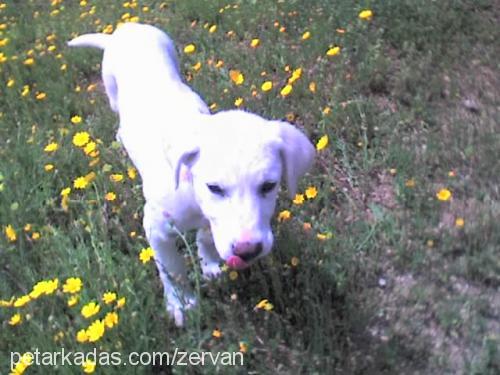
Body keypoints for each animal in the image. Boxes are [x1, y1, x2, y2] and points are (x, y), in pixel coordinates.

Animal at [68, 22, 314, 326]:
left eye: (269, 185)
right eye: (214, 187)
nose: (248, 251)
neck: (193, 196)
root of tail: (128, 28)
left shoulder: (211, 221)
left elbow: (206, 238)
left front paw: (210, 266)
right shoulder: (156, 228)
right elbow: (172, 270)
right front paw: (181, 305)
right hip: (111, 86)